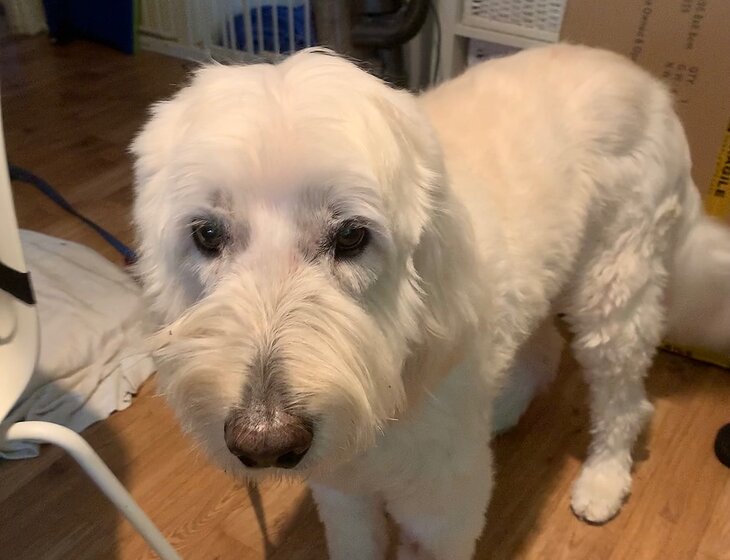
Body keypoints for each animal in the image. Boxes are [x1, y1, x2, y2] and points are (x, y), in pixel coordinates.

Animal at [131, 44, 730, 559]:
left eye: (352, 235)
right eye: (207, 234)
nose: (264, 442)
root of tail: (644, 80)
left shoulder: (443, 515)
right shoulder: (344, 498)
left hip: (616, 288)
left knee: (625, 401)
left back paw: (603, 479)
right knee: (543, 351)